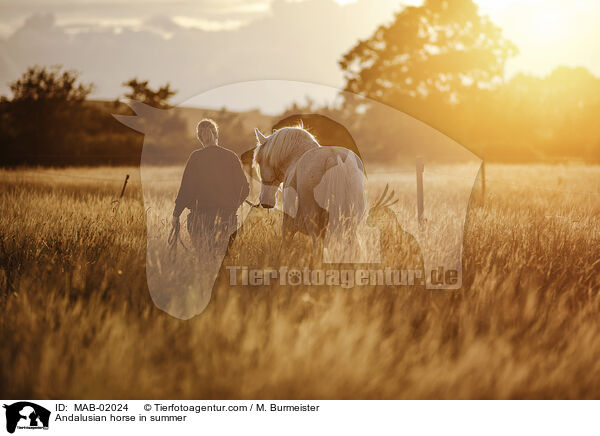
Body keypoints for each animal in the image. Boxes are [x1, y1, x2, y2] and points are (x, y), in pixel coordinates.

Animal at [253, 126, 366, 262]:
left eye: (259, 161)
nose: (265, 201)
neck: (295, 158)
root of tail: (333, 158)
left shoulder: (288, 224)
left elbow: (284, 246)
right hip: (350, 225)